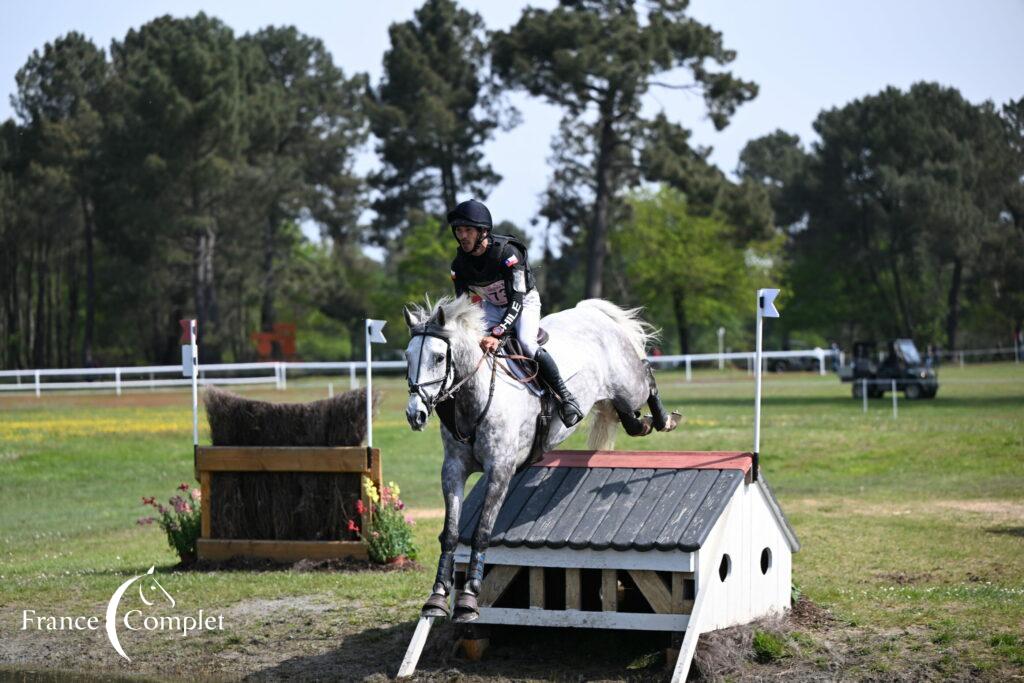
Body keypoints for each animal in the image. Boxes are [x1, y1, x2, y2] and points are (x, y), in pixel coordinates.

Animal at [401, 296, 679, 622]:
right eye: (407, 356)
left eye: (437, 358)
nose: (415, 414)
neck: (474, 399)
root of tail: (591, 311)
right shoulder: (453, 470)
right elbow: (451, 533)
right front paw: (437, 595)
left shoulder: (500, 471)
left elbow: (482, 532)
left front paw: (469, 597)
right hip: (617, 396)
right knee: (628, 417)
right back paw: (643, 423)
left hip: (628, 385)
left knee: (646, 374)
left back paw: (664, 419)